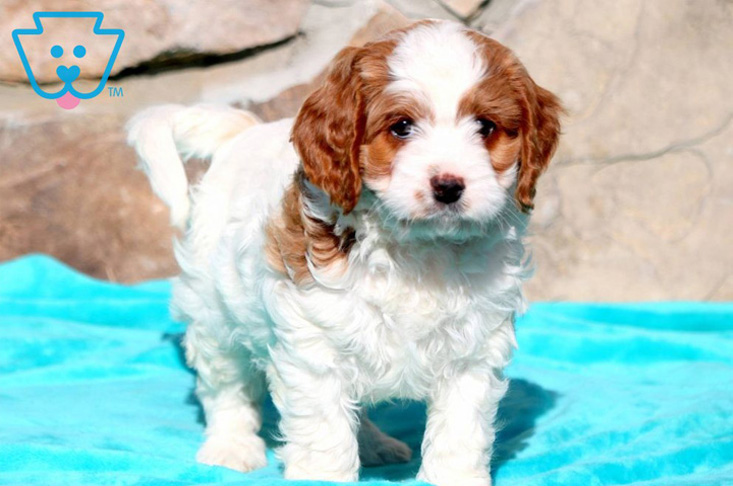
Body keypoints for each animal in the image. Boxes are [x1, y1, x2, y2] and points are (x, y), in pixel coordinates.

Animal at [129, 19, 560, 486]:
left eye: (485, 127)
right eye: (401, 127)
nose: (448, 186)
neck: (419, 248)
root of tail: (244, 132)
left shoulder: (473, 352)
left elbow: (458, 434)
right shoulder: (314, 347)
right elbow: (324, 430)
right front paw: (321, 473)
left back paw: (374, 445)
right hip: (214, 311)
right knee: (226, 388)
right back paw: (231, 448)